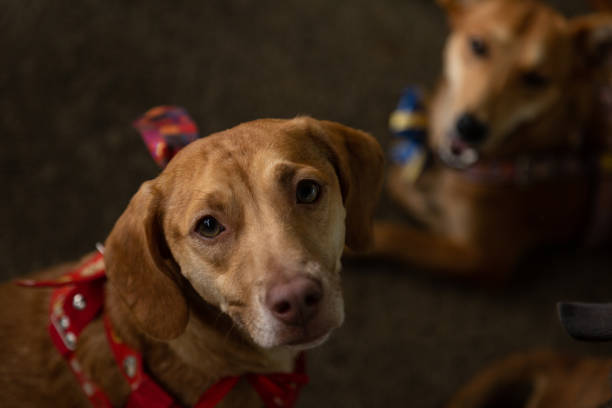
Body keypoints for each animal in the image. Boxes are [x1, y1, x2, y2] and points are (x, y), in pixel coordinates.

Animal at [376, 0, 612, 278]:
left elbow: (394, 235)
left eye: (536, 79)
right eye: (478, 45)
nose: (470, 128)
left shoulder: (488, 257)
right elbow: (398, 183)